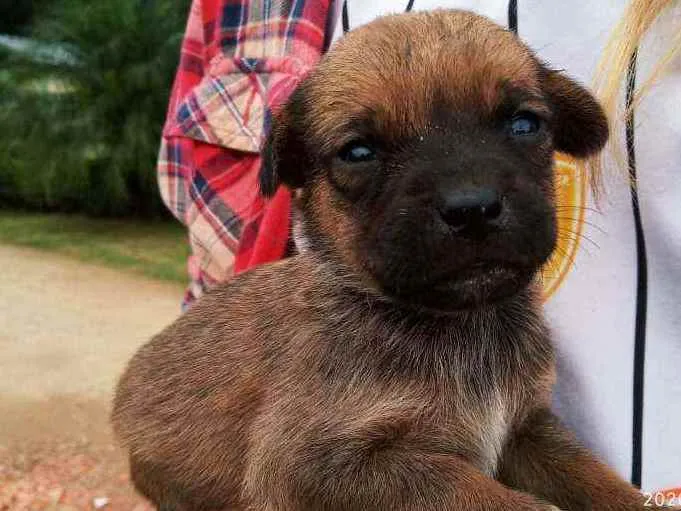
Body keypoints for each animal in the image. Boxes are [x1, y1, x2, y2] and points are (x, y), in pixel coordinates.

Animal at [112, 10, 667, 511]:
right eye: (358, 153)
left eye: (525, 123)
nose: (472, 208)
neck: (462, 325)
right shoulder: (314, 464)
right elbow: (469, 490)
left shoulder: (526, 429)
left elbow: (594, 478)